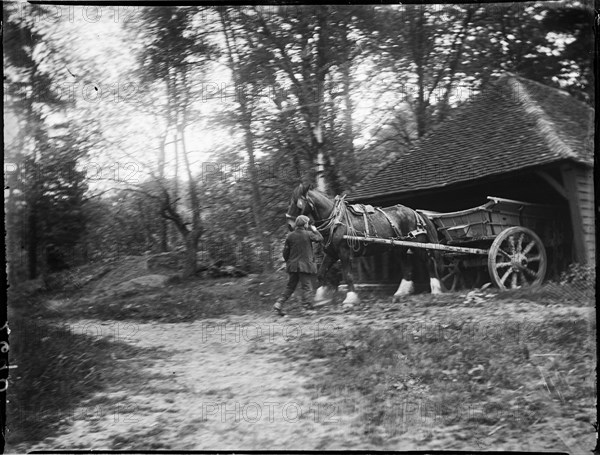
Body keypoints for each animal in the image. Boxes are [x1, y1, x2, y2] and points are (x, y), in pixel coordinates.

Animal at [286, 183, 440, 306]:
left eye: (298, 204)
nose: (290, 225)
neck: (337, 220)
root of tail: (415, 212)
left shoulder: (344, 252)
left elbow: (348, 275)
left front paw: (350, 299)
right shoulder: (331, 253)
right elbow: (321, 273)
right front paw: (321, 297)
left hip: (417, 244)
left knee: (429, 261)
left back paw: (436, 290)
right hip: (399, 247)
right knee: (407, 267)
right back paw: (401, 292)